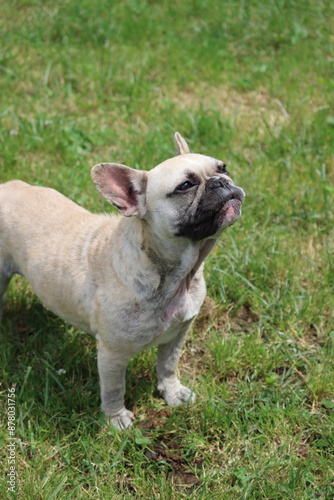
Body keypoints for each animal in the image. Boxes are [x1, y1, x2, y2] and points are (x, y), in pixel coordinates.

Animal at [0, 133, 245, 430]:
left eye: (223, 168)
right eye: (185, 186)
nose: (221, 181)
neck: (176, 276)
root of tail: (6, 186)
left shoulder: (177, 335)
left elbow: (168, 365)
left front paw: (172, 392)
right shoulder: (112, 354)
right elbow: (114, 388)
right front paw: (116, 419)